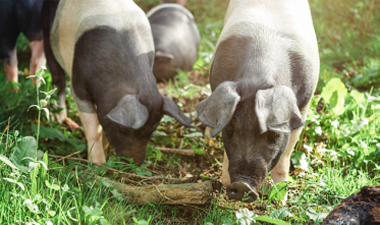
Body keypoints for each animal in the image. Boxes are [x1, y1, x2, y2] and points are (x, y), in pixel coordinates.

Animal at [42, 0, 191, 165]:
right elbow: (93, 127)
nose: (135, 163)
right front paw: (98, 164)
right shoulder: (78, 85)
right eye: (126, 129)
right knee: (58, 79)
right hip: (48, 37)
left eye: (152, 129)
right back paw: (59, 118)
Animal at [196, 0, 320, 203]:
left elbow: (285, 156)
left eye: (272, 132)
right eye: (231, 127)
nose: (241, 185)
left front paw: (280, 200)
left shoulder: (303, 106)